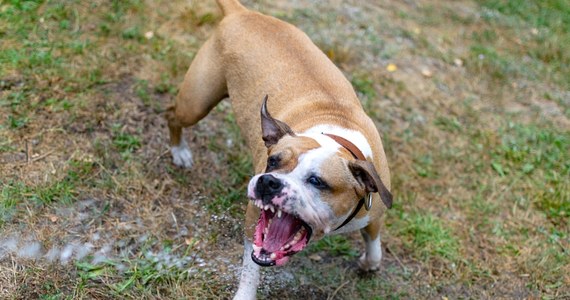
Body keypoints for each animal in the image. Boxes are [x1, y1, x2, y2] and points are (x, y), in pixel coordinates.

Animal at [165, 0, 390, 298]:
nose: (269, 182)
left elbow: (374, 244)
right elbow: (251, 268)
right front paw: (245, 294)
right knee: (171, 114)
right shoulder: (253, 219)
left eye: (317, 181)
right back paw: (179, 150)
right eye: (272, 162)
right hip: (196, 104)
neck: (336, 137)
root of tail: (242, 13)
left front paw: (369, 263)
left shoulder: (374, 209)